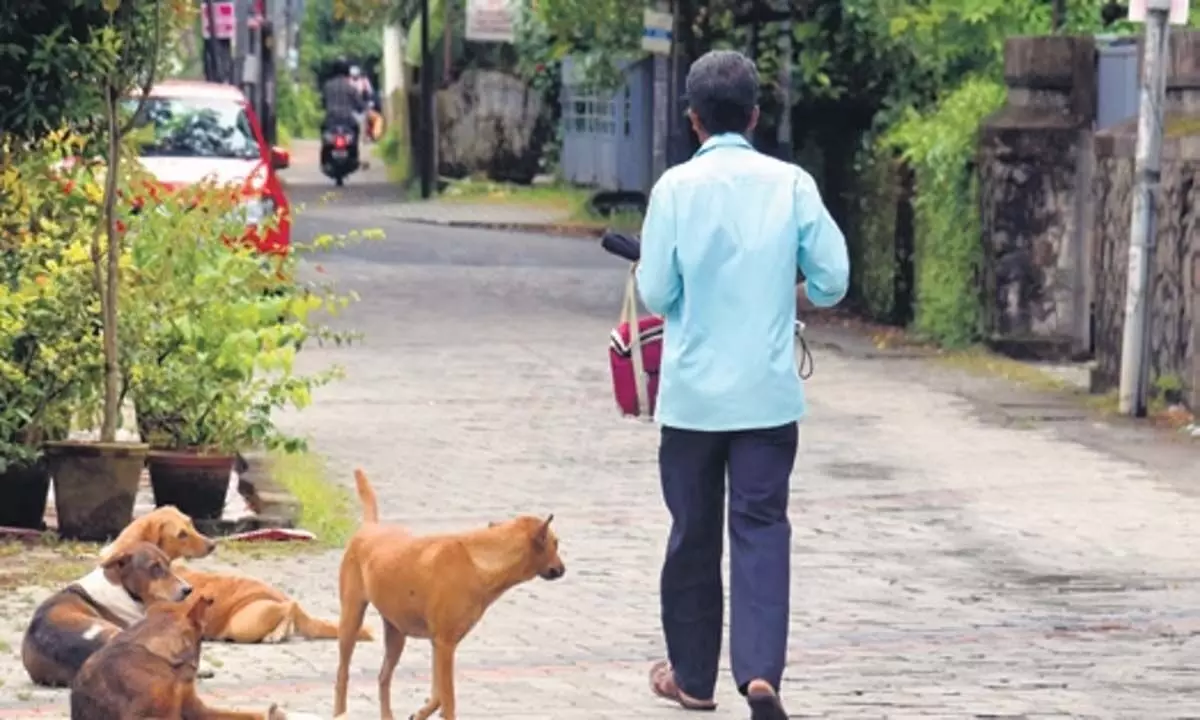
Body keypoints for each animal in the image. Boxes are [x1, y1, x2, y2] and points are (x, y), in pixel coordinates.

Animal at [103, 506, 369, 648]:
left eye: (191, 524)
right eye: (181, 534)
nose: (212, 544)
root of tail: (277, 594)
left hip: (244, 622)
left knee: (290, 606)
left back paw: (276, 633)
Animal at [333, 470, 566, 720]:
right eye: (555, 543)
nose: (563, 569)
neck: (479, 561)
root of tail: (369, 527)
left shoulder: (440, 645)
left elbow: (438, 695)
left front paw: (420, 713)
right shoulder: (445, 645)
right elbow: (449, 700)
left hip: (396, 634)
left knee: (383, 677)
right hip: (351, 621)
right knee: (342, 675)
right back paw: (339, 711)